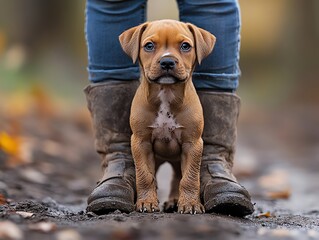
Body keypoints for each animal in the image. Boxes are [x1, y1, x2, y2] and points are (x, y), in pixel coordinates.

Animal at [120, 19, 218, 214]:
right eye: (149, 46)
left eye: (185, 46)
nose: (167, 62)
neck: (166, 93)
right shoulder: (140, 143)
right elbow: (144, 175)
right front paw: (146, 202)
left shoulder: (192, 144)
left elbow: (189, 178)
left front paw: (190, 204)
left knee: (178, 176)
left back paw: (175, 200)